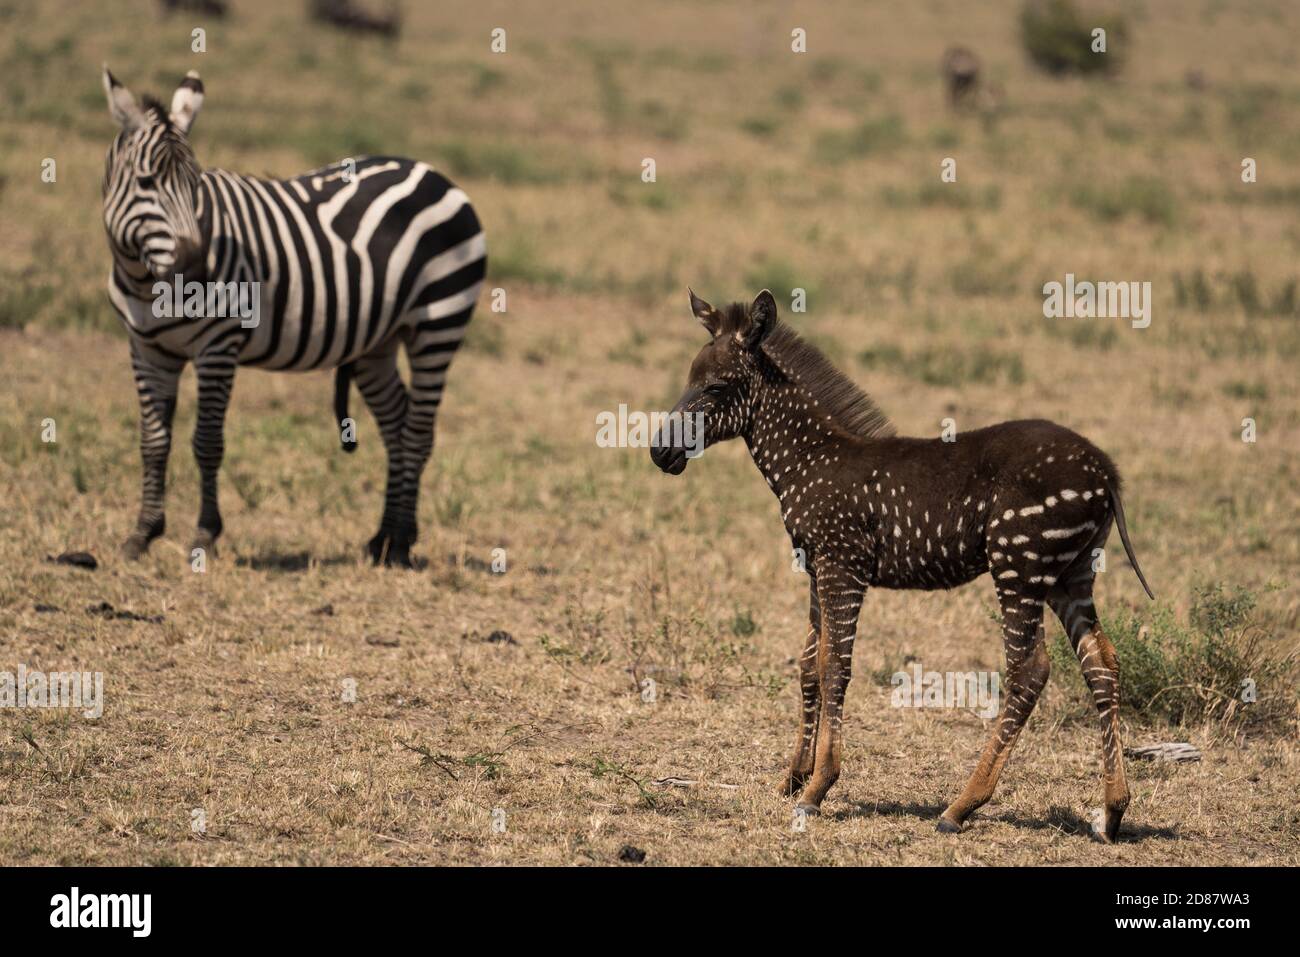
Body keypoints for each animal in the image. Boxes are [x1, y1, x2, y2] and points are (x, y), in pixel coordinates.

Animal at [101, 70, 486, 572]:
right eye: (146, 182)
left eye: (196, 184)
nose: (199, 270)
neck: (147, 283)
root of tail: (434, 173)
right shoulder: (147, 348)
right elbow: (153, 441)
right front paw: (142, 534)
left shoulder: (218, 345)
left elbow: (207, 441)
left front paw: (205, 535)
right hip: (378, 343)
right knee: (397, 426)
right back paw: (384, 539)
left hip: (439, 322)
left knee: (419, 431)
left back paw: (401, 543)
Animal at [655, 287, 1154, 842]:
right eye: (688, 380)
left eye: (716, 387)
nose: (660, 453)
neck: (810, 457)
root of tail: (1105, 470)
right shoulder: (815, 567)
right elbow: (809, 665)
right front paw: (793, 777)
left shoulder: (842, 566)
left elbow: (835, 668)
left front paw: (817, 788)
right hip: (1071, 574)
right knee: (1102, 664)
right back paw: (1113, 809)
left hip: (1020, 567)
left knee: (1029, 670)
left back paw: (963, 805)